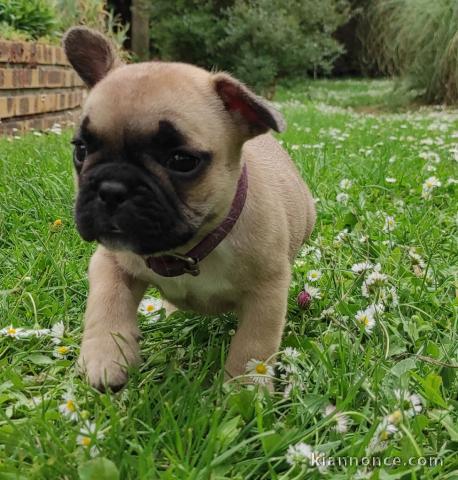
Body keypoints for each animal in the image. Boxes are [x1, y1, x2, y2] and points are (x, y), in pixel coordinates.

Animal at [62, 27, 316, 390]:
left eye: (182, 161)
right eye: (81, 150)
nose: (111, 189)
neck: (187, 250)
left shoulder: (267, 294)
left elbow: (253, 347)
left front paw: (244, 390)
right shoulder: (111, 260)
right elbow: (106, 302)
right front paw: (105, 357)